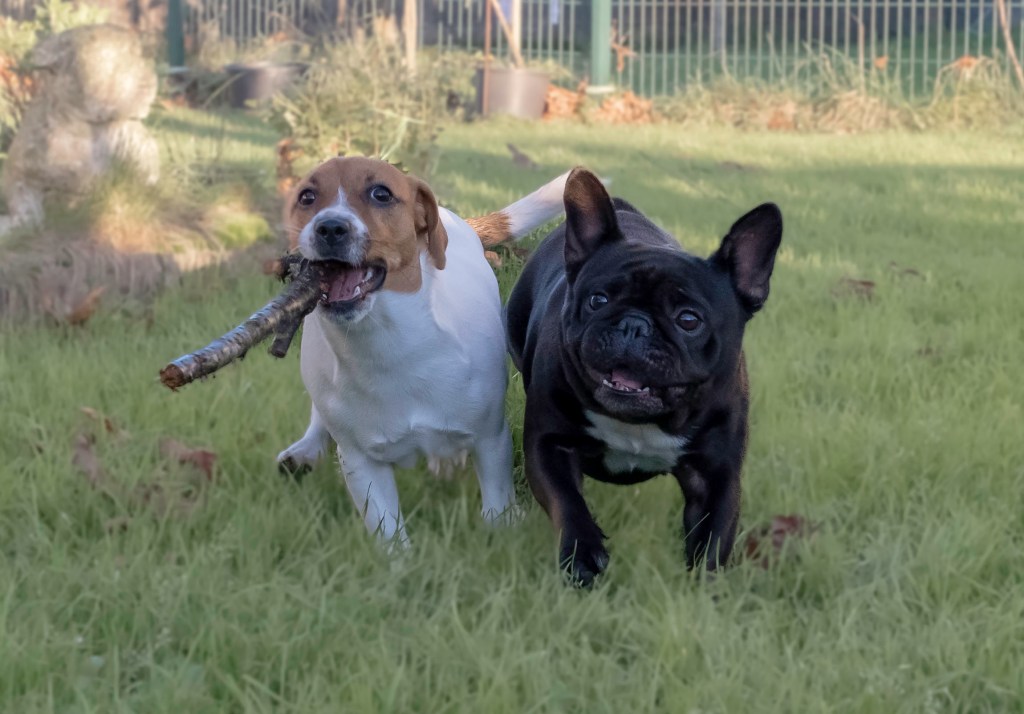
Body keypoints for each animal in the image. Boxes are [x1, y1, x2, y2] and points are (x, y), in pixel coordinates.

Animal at [276, 157, 568, 545]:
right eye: (306, 196)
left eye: (381, 193)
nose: (329, 227)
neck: (388, 346)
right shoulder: (360, 461)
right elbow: (387, 529)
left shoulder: (491, 437)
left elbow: (496, 498)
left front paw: (501, 527)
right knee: (318, 416)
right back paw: (305, 451)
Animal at [504, 167, 783, 585]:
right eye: (597, 300)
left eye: (689, 320)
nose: (634, 324)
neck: (639, 424)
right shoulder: (549, 445)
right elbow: (567, 501)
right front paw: (583, 558)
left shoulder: (717, 474)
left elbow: (715, 532)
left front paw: (704, 586)